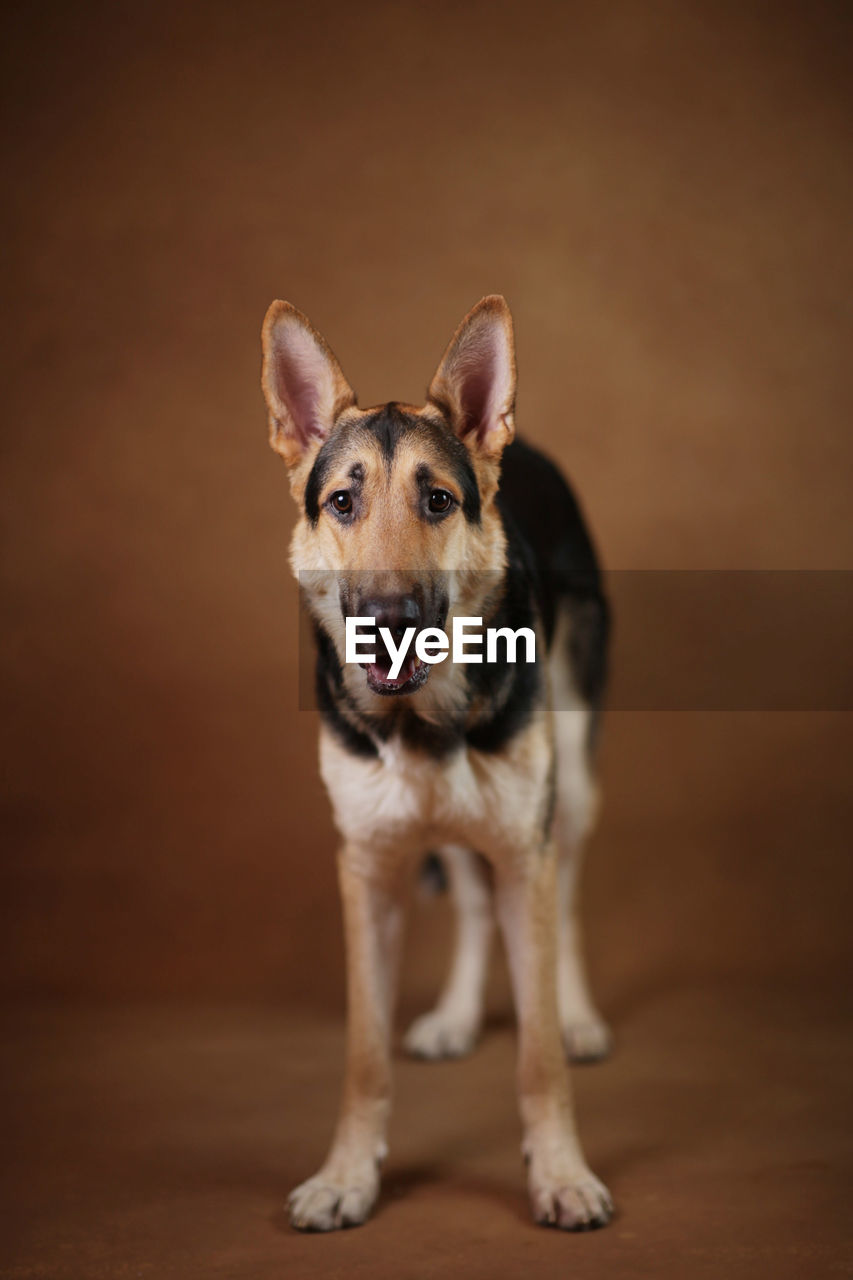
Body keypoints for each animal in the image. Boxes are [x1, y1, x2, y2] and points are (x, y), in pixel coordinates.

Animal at [258, 294, 612, 1233]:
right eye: (343, 502)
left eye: (440, 501)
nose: (387, 618)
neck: (420, 721)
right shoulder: (368, 873)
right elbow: (363, 1055)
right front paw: (347, 1176)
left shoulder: (525, 849)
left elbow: (535, 1055)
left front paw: (560, 1172)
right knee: (472, 902)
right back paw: (454, 1017)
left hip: (569, 788)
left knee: (564, 895)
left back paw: (577, 1016)